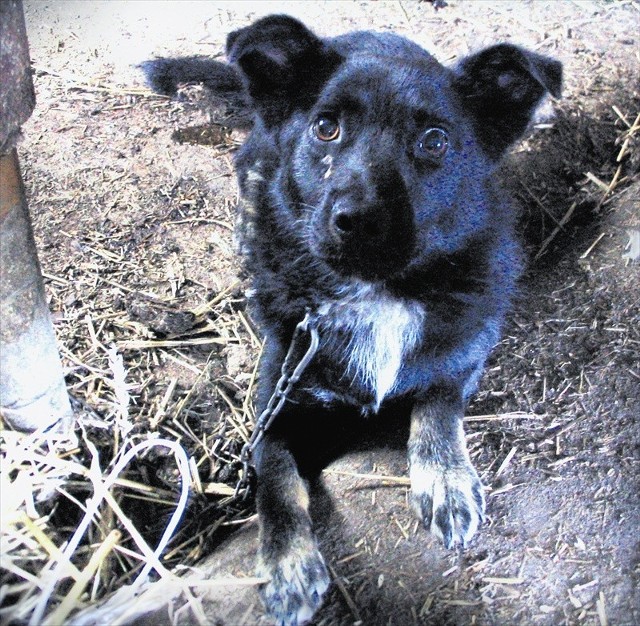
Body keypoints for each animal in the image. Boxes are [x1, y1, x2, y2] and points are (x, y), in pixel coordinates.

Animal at [144, 15, 560, 624]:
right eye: (326, 128)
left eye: (434, 141)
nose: (358, 220)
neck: (375, 294)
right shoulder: (278, 401)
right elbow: (275, 477)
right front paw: (287, 563)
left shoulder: (464, 349)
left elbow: (438, 403)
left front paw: (445, 479)